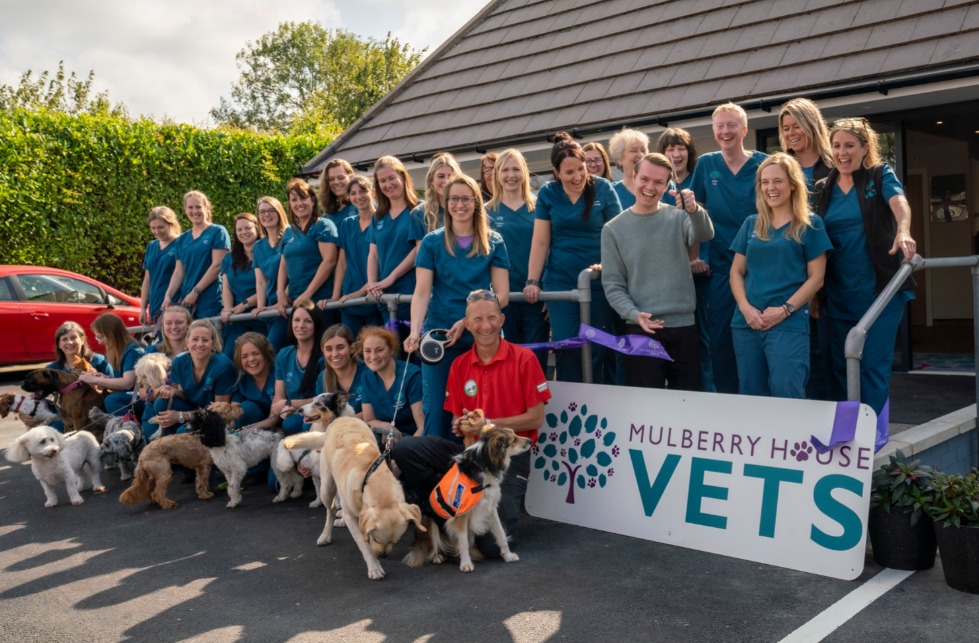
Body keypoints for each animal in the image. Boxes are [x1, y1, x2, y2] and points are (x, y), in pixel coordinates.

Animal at [285, 413, 425, 580]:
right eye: (377, 539)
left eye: (395, 541)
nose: (383, 556)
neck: (372, 478)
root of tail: (340, 419)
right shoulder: (353, 518)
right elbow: (364, 544)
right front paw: (374, 566)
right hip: (326, 487)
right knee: (331, 510)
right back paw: (326, 535)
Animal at [407, 425, 530, 573]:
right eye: (513, 440)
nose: (530, 441)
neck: (484, 464)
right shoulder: (460, 516)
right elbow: (464, 543)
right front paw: (466, 563)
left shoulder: (491, 509)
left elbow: (501, 534)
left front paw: (508, 555)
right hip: (429, 521)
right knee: (430, 546)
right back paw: (437, 556)